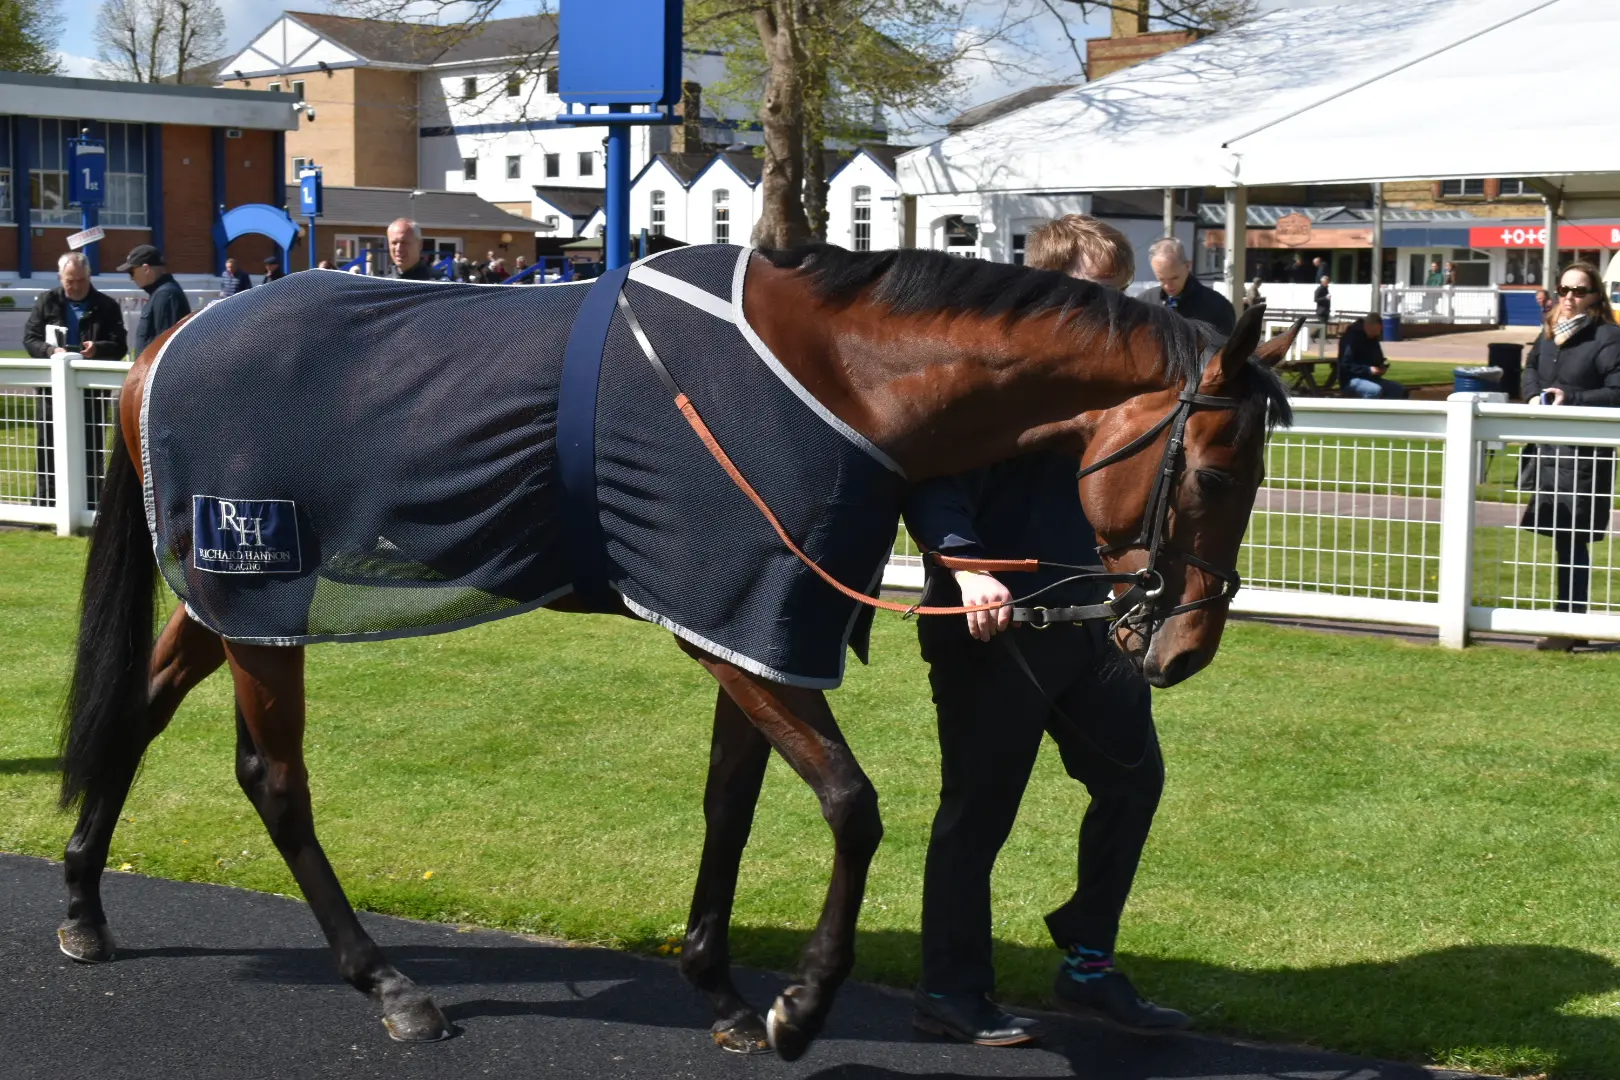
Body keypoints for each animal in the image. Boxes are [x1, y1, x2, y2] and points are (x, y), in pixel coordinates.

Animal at [59, 247, 1289, 1062]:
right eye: (1217, 473)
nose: (1182, 647)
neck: (833, 376)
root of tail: (161, 344)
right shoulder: (743, 623)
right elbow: (853, 806)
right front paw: (801, 1006)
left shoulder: (751, 626)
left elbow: (728, 804)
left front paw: (721, 986)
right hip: (261, 585)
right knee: (275, 779)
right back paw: (387, 981)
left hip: (226, 598)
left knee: (135, 712)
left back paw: (82, 904)